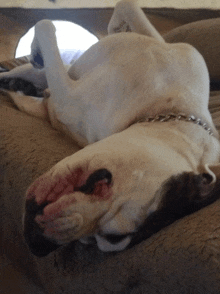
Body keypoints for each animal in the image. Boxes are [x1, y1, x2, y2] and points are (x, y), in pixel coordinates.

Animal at [1, 0, 220, 258]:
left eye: (103, 239)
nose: (38, 243)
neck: (166, 108)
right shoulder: (174, 51)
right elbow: (129, 7)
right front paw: (115, 26)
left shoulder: (66, 97)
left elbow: (46, 27)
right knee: (31, 72)